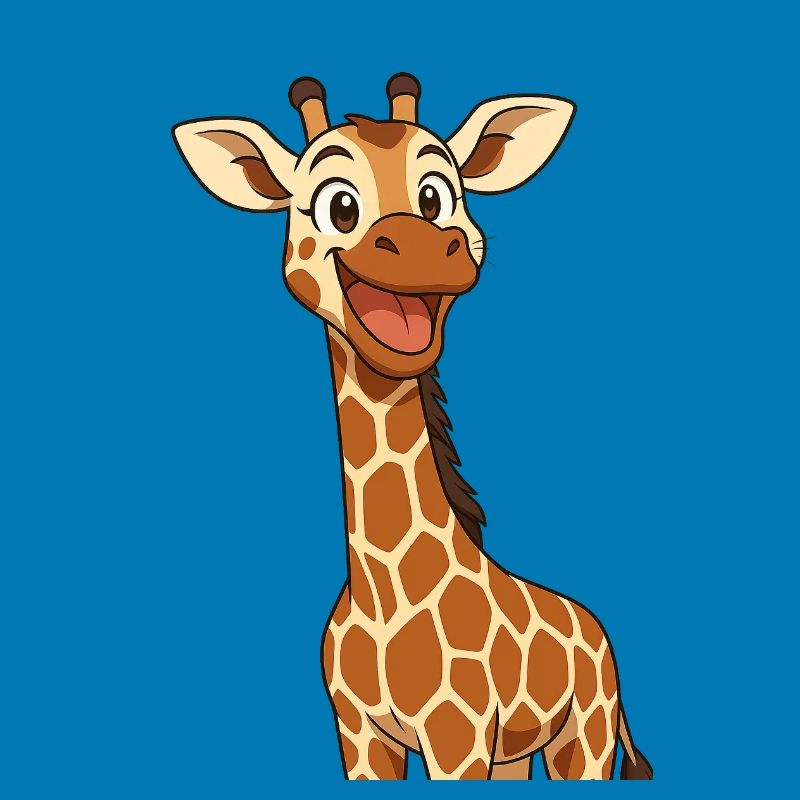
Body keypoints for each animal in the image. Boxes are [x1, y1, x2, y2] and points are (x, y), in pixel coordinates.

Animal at [172, 74, 653, 781]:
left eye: (436, 196)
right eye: (338, 205)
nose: (428, 247)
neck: (381, 595)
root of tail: (598, 629)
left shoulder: (459, 735)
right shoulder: (359, 735)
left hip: (585, 734)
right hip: (519, 751)